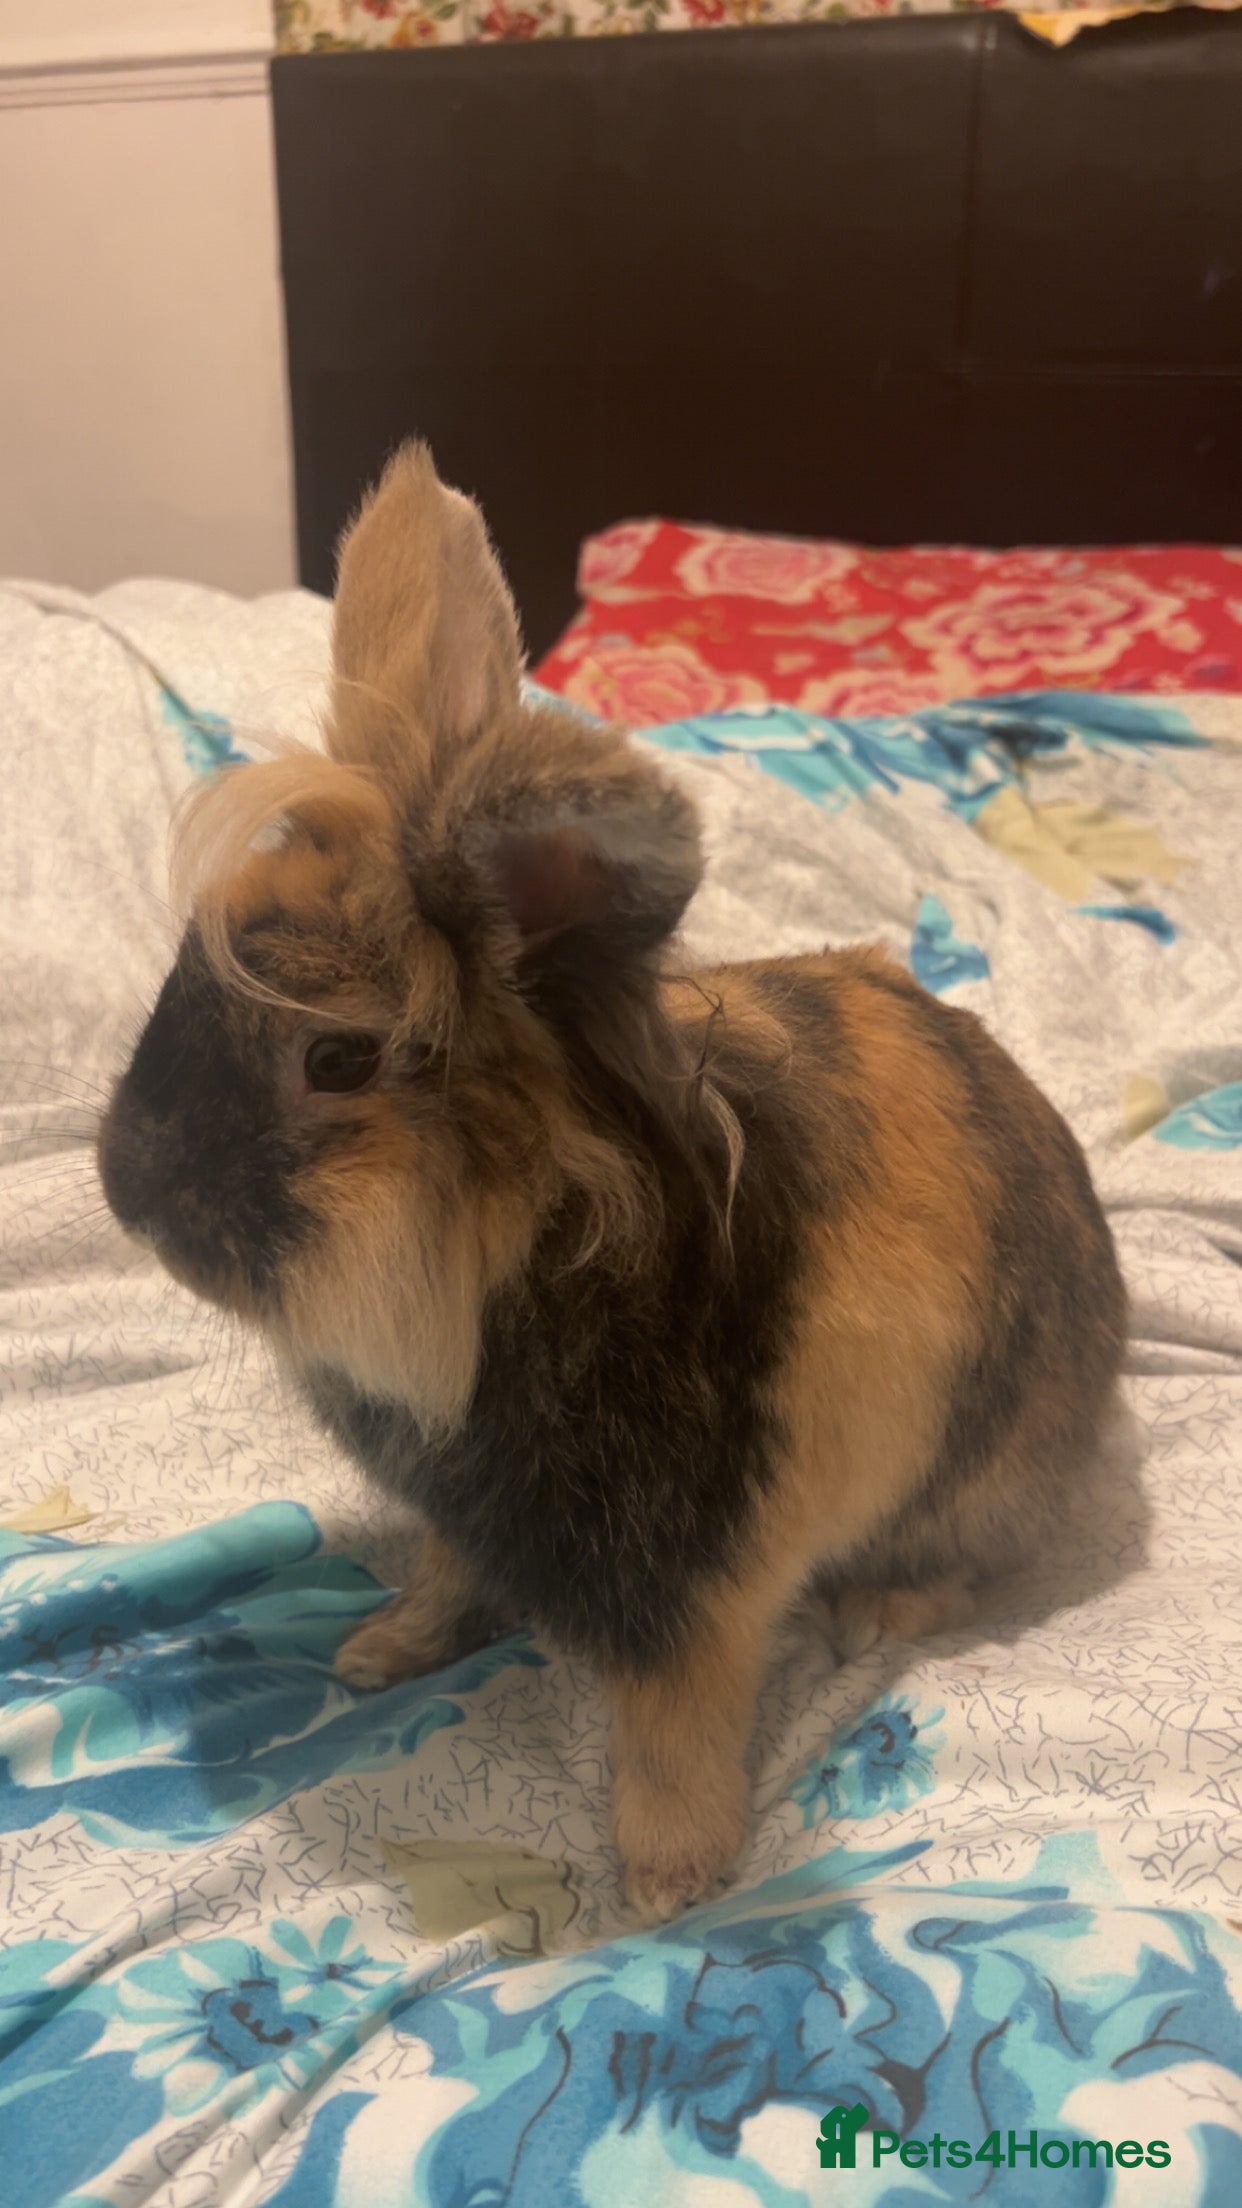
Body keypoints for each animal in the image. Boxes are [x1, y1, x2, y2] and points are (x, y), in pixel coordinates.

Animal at [98, 444, 1127, 1922]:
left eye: (339, 1059)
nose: (125, 1191)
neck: (526, 1246)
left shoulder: (697, 1597)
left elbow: (672, 1732)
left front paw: (667, 1887)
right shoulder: (471, 1522)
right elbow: (448, 1577)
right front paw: (380, 1651)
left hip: (982, 1481)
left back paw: (875, 1616)